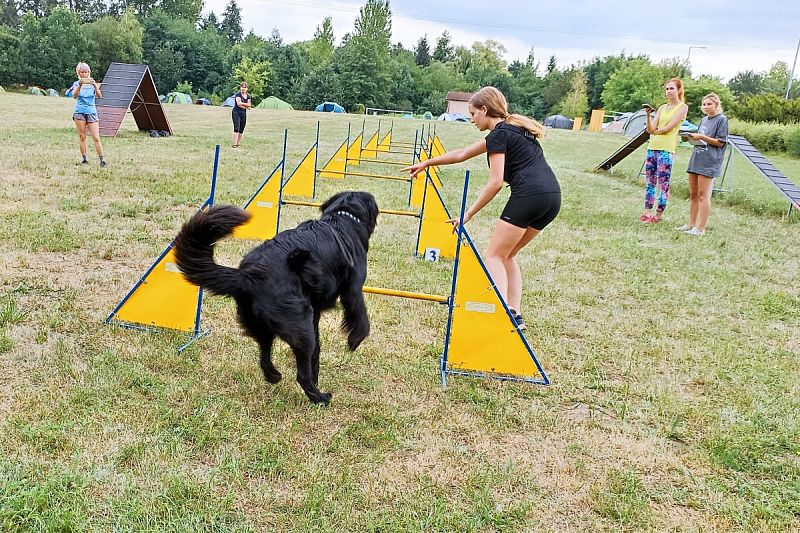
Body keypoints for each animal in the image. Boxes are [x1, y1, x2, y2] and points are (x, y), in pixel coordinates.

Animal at [173, 191, 380, 404]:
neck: (344, 216)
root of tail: (248, 277)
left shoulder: (315, 313)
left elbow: (317, 351)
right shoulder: (353, 289)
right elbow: (360, 314)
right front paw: (355, 339)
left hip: (264, 325)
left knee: (264, 357)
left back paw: (274, 376)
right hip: (300, 328)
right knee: (301, 374)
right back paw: (320, 398)